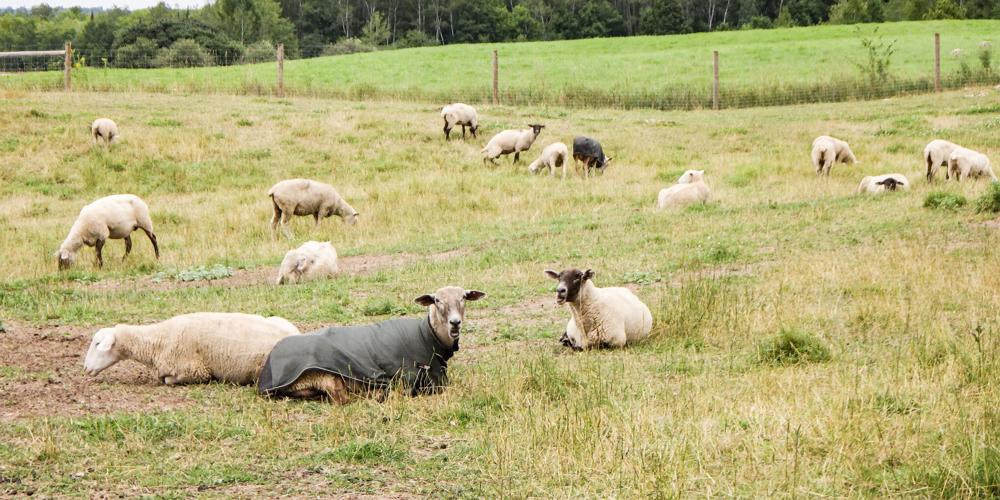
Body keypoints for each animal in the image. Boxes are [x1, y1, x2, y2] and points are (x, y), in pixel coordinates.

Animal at [258, 286, 486, 404]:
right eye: (437, 300)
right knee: (342, 398)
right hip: (325, 375)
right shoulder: (411, 379)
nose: (455, 322)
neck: (426, 335)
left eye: (464, 297)